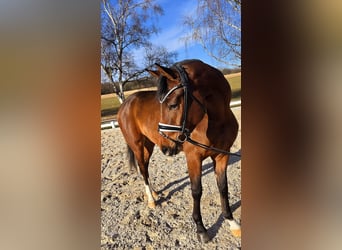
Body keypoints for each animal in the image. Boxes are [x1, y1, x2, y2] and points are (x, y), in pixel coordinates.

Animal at [117, 59, 240, 242]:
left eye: (173, 104)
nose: (166, 148)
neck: (217, 120)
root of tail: (127, 102)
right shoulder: (193, 158)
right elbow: (196, 191)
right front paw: (201, 229)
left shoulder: (222, 155)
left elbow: (223, 187)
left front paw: (232, 223)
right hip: (137, 144)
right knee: (142, 168)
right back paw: (151, 200)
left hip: (149, 144)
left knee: (145, 166)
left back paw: (153, 193)